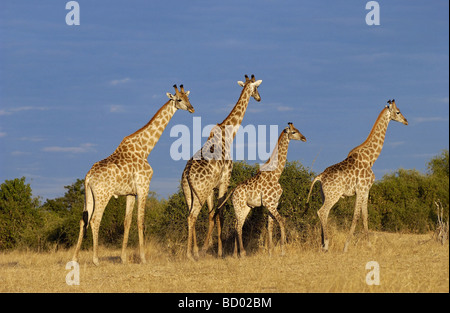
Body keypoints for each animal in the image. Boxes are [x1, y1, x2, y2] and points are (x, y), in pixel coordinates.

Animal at [73, 84, 194, 264]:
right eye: (179, 99)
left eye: (188, 97)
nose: (192, 108)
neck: (145, 149)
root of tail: (88, 176)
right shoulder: (144, 187)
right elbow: (140, 221)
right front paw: (143, 258)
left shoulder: (130, 193)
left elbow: (127, 222)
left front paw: (123, 258)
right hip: (103, 195)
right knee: (95, 220)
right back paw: (95, 259)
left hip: (88, 195)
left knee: (83, 220)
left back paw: (74, 258)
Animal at [181, 74, 262, 260]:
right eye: (256, 88)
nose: (259, 98)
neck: (229, 134)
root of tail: (187, 173)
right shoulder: (225, 180)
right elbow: (220, 214)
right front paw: (218, 251)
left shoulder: (212, 187)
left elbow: (212, 214)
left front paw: (209, 249)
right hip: (200, 192)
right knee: (192, 216)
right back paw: (190, 254)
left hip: (189, 192)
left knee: (190, 214)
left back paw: (194, 251)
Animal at [224, 122, 306, 256]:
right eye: (293, 132)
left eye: (298, 129)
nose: (304, 138)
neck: (276, 175)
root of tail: (233, 191)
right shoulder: (270, 203)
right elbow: (282, 222)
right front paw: (282, 250)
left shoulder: (273, 203)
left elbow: (270, 227)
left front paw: (270, 252)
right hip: (238, 205)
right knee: (238, 226)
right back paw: (242, 253)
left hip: (245, 207)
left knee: (237, 225)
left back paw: (235, 254)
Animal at [306, 99, 408, 251]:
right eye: (398, 112)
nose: (406, 121)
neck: (371, 158)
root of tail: (320, 176)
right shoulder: (361, 189)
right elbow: (356, 216)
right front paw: (346, 247)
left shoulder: (366, 190)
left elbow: (365, 216)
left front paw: (369, 246)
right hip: (334, 195)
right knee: (322, 212)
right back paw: (326, 245)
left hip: (324, 195)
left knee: (325, 213)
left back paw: (322, 244)